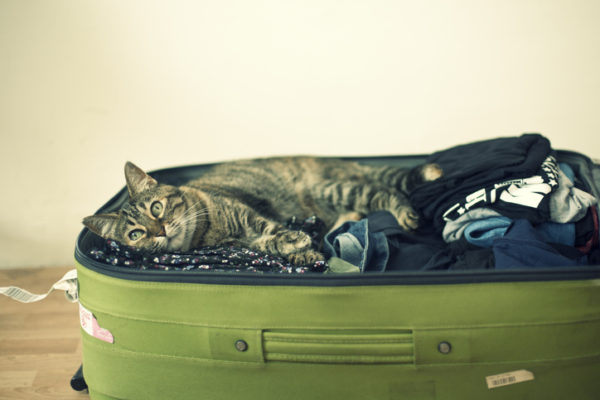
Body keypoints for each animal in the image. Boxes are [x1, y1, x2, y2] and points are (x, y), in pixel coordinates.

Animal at [83, 157, 440, 266]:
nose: (160, 231)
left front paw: (294, 240)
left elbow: (273, 231)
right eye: (136, 234)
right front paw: (304, 253)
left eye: (156, 207)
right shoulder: (241, 244)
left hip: (331, 189)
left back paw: (405, 211)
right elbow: (270, 246)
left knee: (386, 190)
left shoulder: (249, 216)